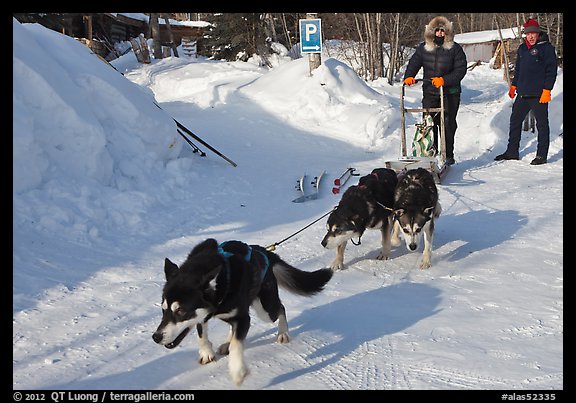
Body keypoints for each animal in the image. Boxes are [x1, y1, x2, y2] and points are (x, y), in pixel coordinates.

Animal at [153, 238, 332, 386]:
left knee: (280, 308)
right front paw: (206, 352)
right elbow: (201, 333)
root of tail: (262, 251)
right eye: (163, 309)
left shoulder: (244, 318)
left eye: (181, 311)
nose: (156, 337)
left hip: (266, 310)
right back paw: (226, 342)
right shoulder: (205, 315)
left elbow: (237, 344)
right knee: (233, 326)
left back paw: (283, 332)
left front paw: (238, 371)